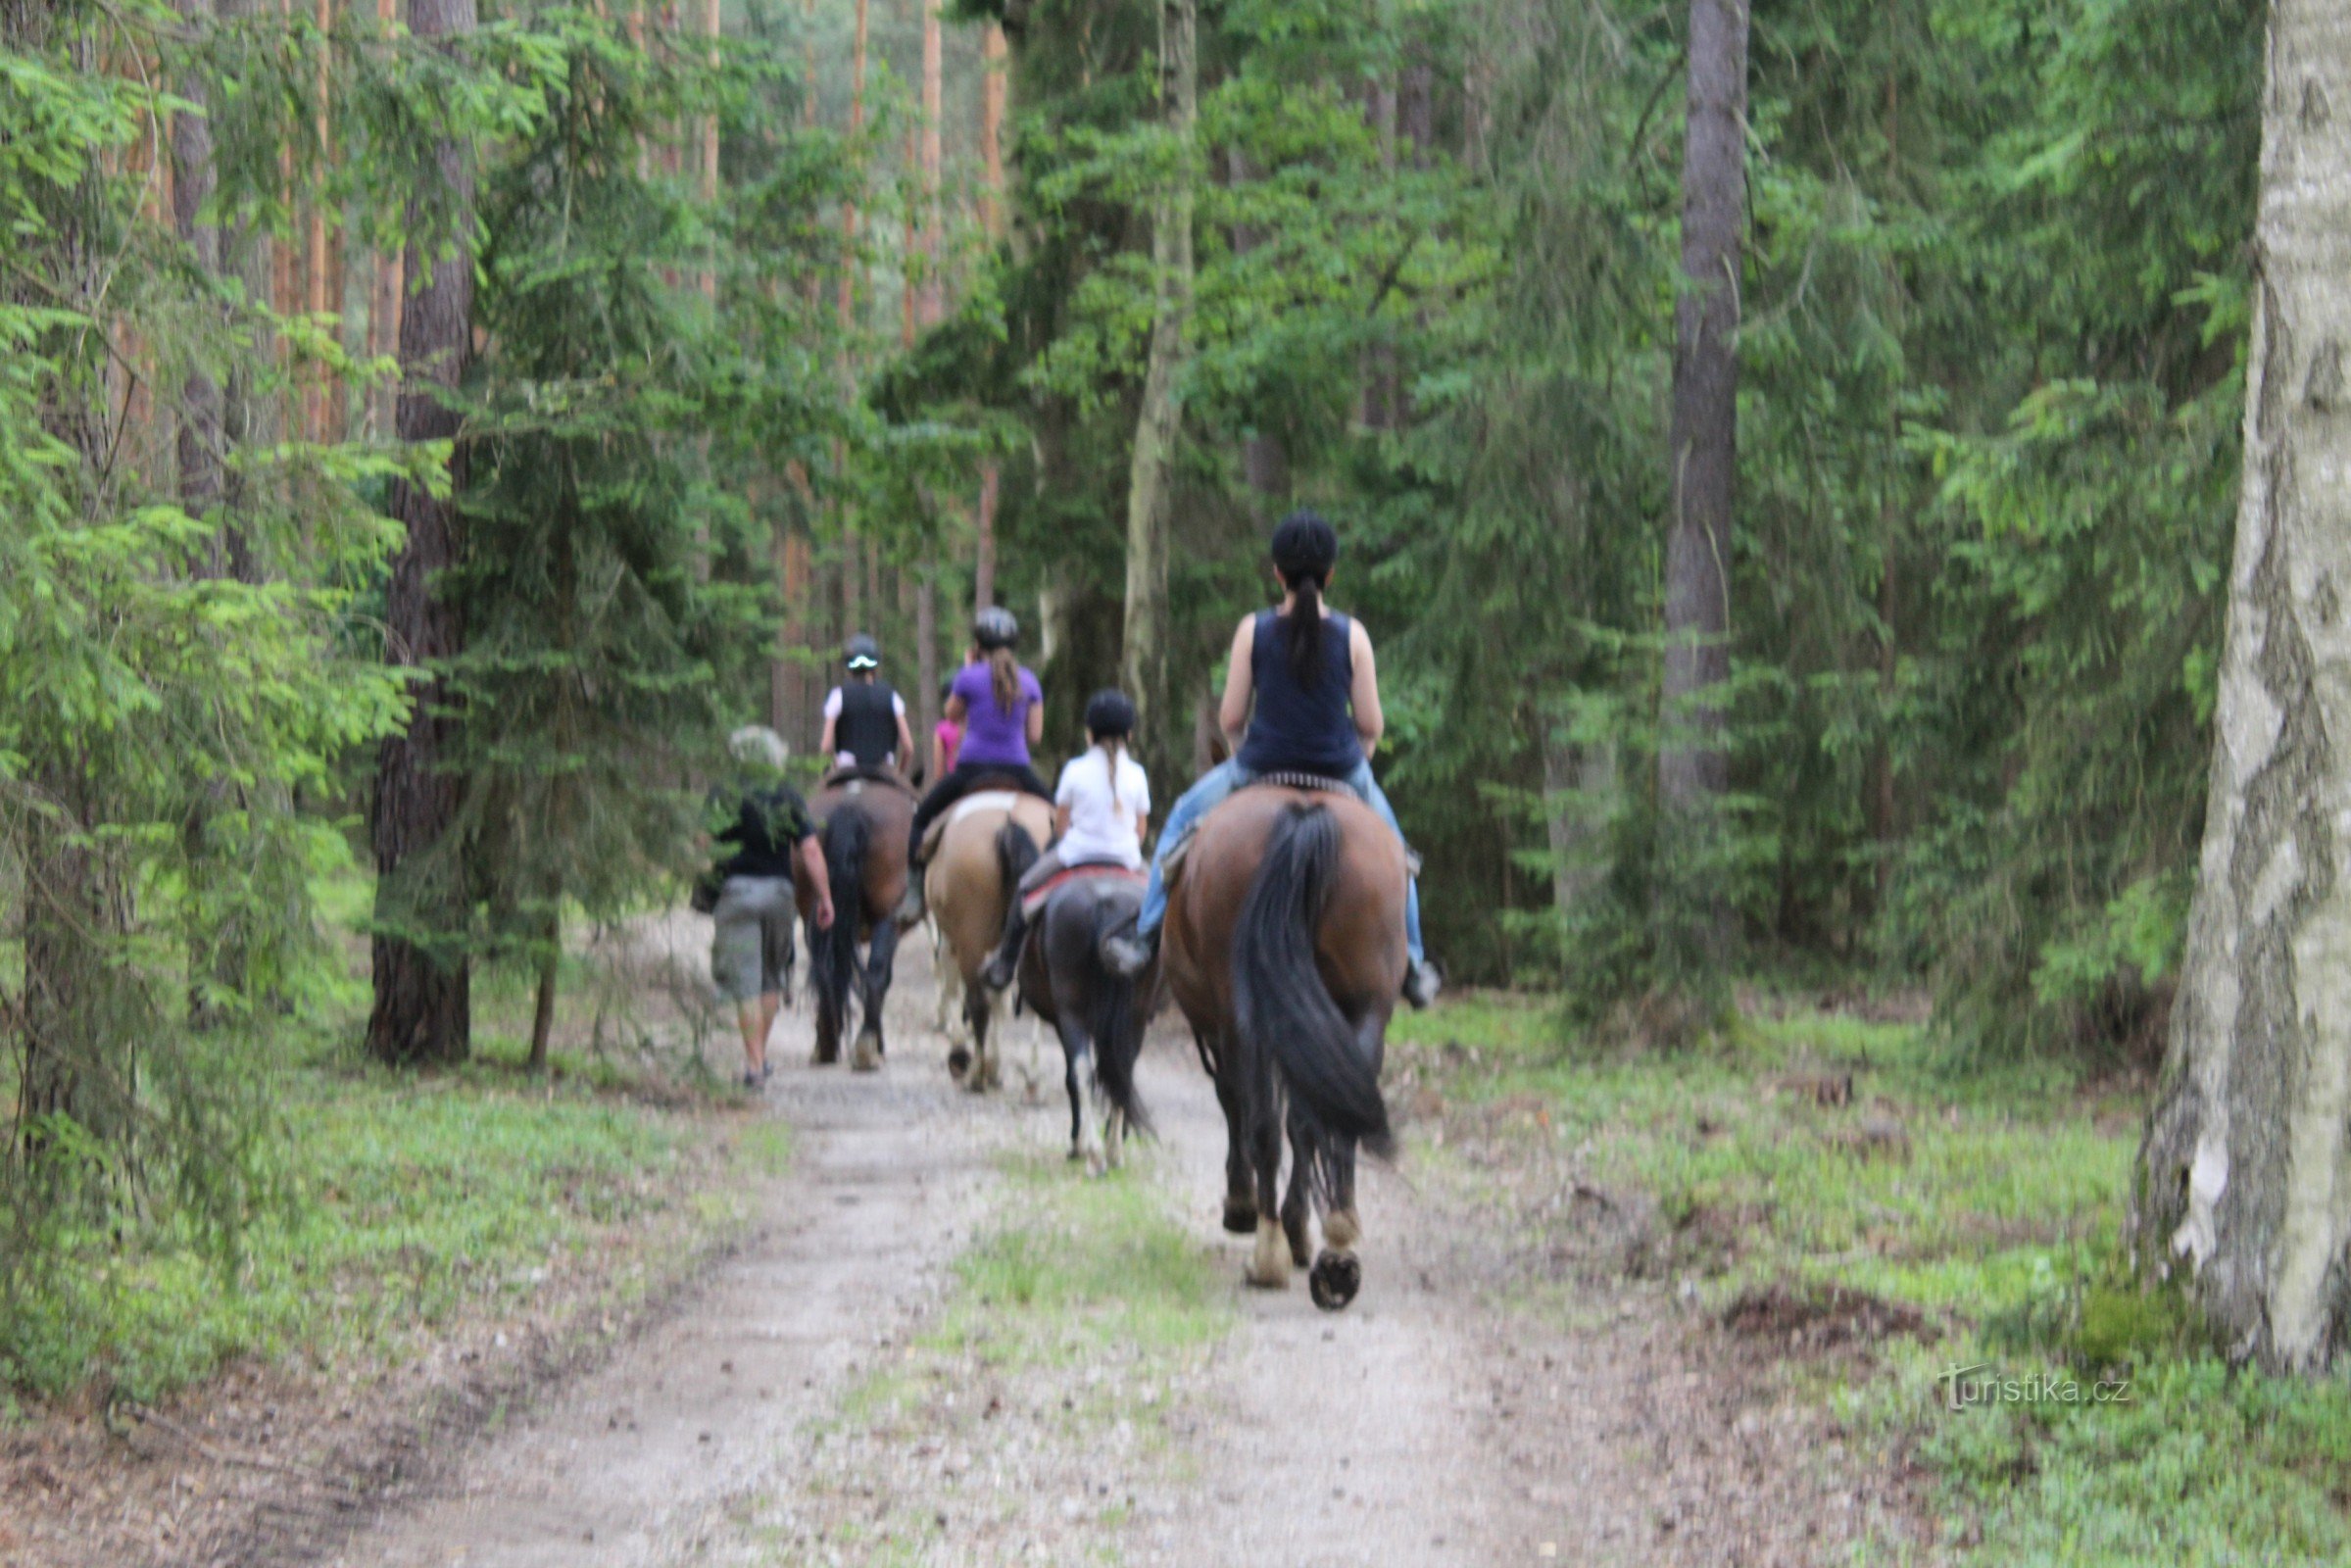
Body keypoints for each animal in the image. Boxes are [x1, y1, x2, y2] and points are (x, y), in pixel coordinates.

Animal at [794, 770, 911, 1071]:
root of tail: (851, 805)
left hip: (815, 915)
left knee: (825, 970)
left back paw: (825, 1045)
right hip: (888, 918)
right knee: (876, 974)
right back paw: (868, 1047)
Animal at [926, 785, 1057, 1091]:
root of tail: (1010, 821)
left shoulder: (950, 940)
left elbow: (955, 989)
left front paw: (961, 1053)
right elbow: (1001, 999)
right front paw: (996, 1068)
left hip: (970, 940)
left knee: (977, 1001)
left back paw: (975, 1073)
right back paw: (1030, 1076)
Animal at [1010, 869, 1156, 1175]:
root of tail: (1109, 902)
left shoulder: (1061, 1020)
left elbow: (1072, 1076)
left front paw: (1076, 1143)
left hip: (1071, 1013)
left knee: (1082, 1072)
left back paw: (1093, 1153)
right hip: (1134, 1017)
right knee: (1121, 1072)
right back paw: (1113, 1150)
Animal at [1161, 785, 1400, 1316]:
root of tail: (1304, 813)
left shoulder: (1221, 1031)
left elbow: (1238, 1106)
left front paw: (1242, 1204)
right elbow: (1305, 1123)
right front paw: (1299, 1227)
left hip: (1242, 1019)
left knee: (1262, 1123)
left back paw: (1267, 1250)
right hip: (1365, 1008)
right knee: (1330, 1120)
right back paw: (1335, 1250)